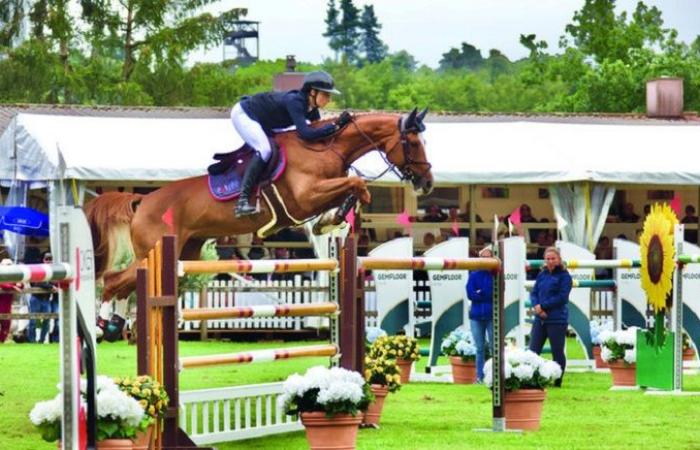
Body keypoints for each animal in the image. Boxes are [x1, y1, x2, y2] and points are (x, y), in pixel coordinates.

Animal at [87, 108, 432, 298]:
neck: (324, 148)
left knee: (125, 284)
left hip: (186, 251)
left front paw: (331, 220)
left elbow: (354, 190)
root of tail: (143, 200)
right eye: (414, 143)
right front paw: (332, 218)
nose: (427, 182)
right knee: (114, 281)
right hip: (153, 250)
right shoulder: (305, 198)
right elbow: (359, 185)